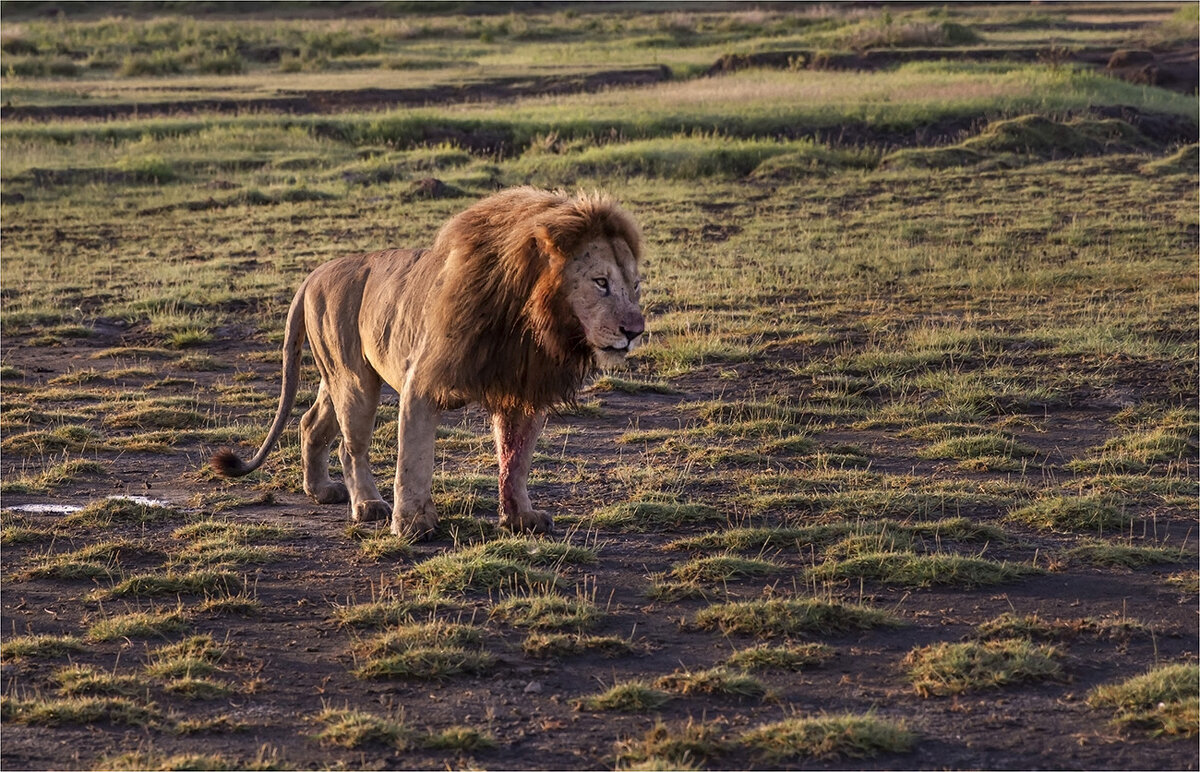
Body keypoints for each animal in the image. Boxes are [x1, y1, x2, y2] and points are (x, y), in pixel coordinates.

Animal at [216, 186, 648, 537]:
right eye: (601, 282)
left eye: (635, 286)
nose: (635, 330)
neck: (532, 319)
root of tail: (316, 272)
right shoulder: (423, 380)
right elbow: (415, 458)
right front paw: (413, 524)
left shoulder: (521, 386)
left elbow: (516, 459)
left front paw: (521, 517)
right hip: (355, 380)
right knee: (351, 447)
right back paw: (367, 505)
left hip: (337, 374)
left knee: (311, 423)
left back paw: (321, 490)